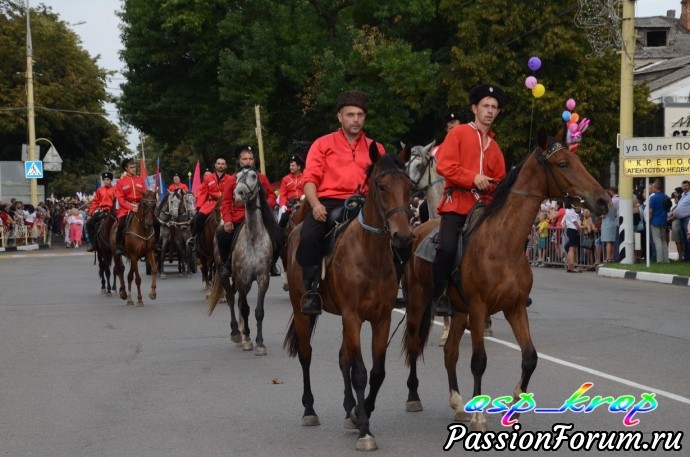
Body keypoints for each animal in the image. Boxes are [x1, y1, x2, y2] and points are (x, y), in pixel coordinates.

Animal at [206, 166, 280, 354]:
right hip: (225, 274)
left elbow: (258, 310)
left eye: (254, 176)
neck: (253, 237)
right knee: (232, 300)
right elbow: (245, 308)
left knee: (239, 300)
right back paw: (237, 333)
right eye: (237, 176)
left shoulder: (262, 278)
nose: (238, 194)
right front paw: (246, 337)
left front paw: (260, 343)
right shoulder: (240, 277)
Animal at [280, 144, 412, 450]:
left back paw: (349, 408)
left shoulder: (381, 319)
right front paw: (365, 430)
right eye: (382, 186)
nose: (403, 238)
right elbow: (360, 372)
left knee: (343, 358)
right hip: (303, 312)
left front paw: (360, 413)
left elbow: (376, 372)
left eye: (410, 186)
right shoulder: (353, 316)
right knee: (306, 354)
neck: (370, 255)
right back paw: (309, 410)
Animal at [398, 129, 608, 432]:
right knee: (415, 343)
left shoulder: (515, 308)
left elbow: (530, 357)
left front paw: (516, 405)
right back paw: (414, 397)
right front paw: (479, 416)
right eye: (563, 164)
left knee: (450, 353)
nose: (603, 200)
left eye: (577, 160)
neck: (503, 242)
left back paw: (458, 404)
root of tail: (417, 231)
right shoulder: (478, 307)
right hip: (419, 302)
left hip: (459, 310)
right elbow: (479, 361)